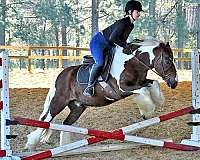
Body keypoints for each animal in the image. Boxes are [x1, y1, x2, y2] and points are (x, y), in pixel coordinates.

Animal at [24, 38, 177, 150]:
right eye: (168, 60)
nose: (174, 82)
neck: (131, 63)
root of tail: (61, 75)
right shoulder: (121, 89)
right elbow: (144, 90)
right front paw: (147, 111)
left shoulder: (141, 82)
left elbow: (154, 83)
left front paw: (157, 101)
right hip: (58, 102)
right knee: (46, 120)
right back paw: (31, 144)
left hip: (78, 107)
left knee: (66, 123)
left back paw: (65, 146)